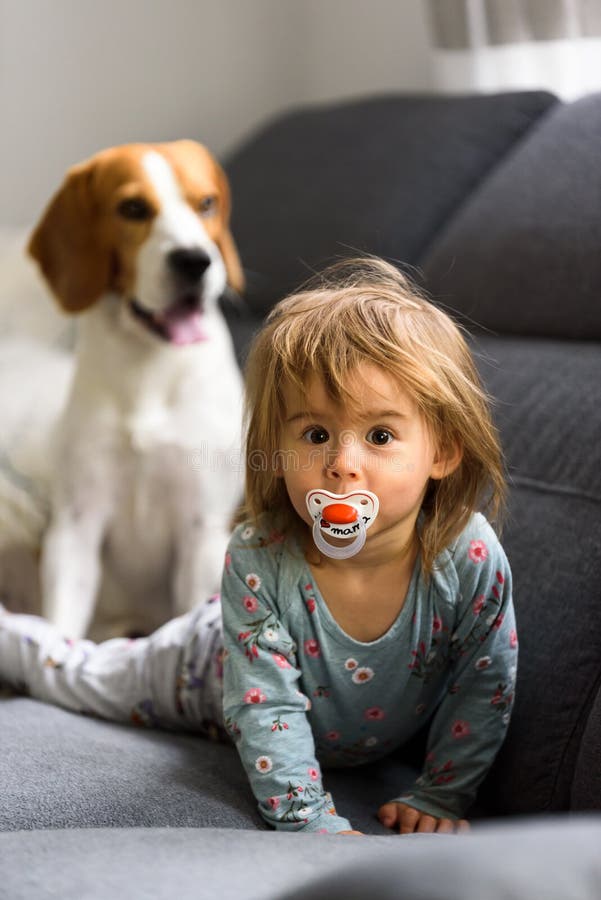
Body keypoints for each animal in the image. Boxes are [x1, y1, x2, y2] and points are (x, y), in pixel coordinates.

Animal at [28, 139, 244, 640]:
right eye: (132, 208)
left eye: (206, 203)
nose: (195, 260)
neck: (149, 370)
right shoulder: (75, 527)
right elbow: (62, 625)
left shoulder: (201, 530)